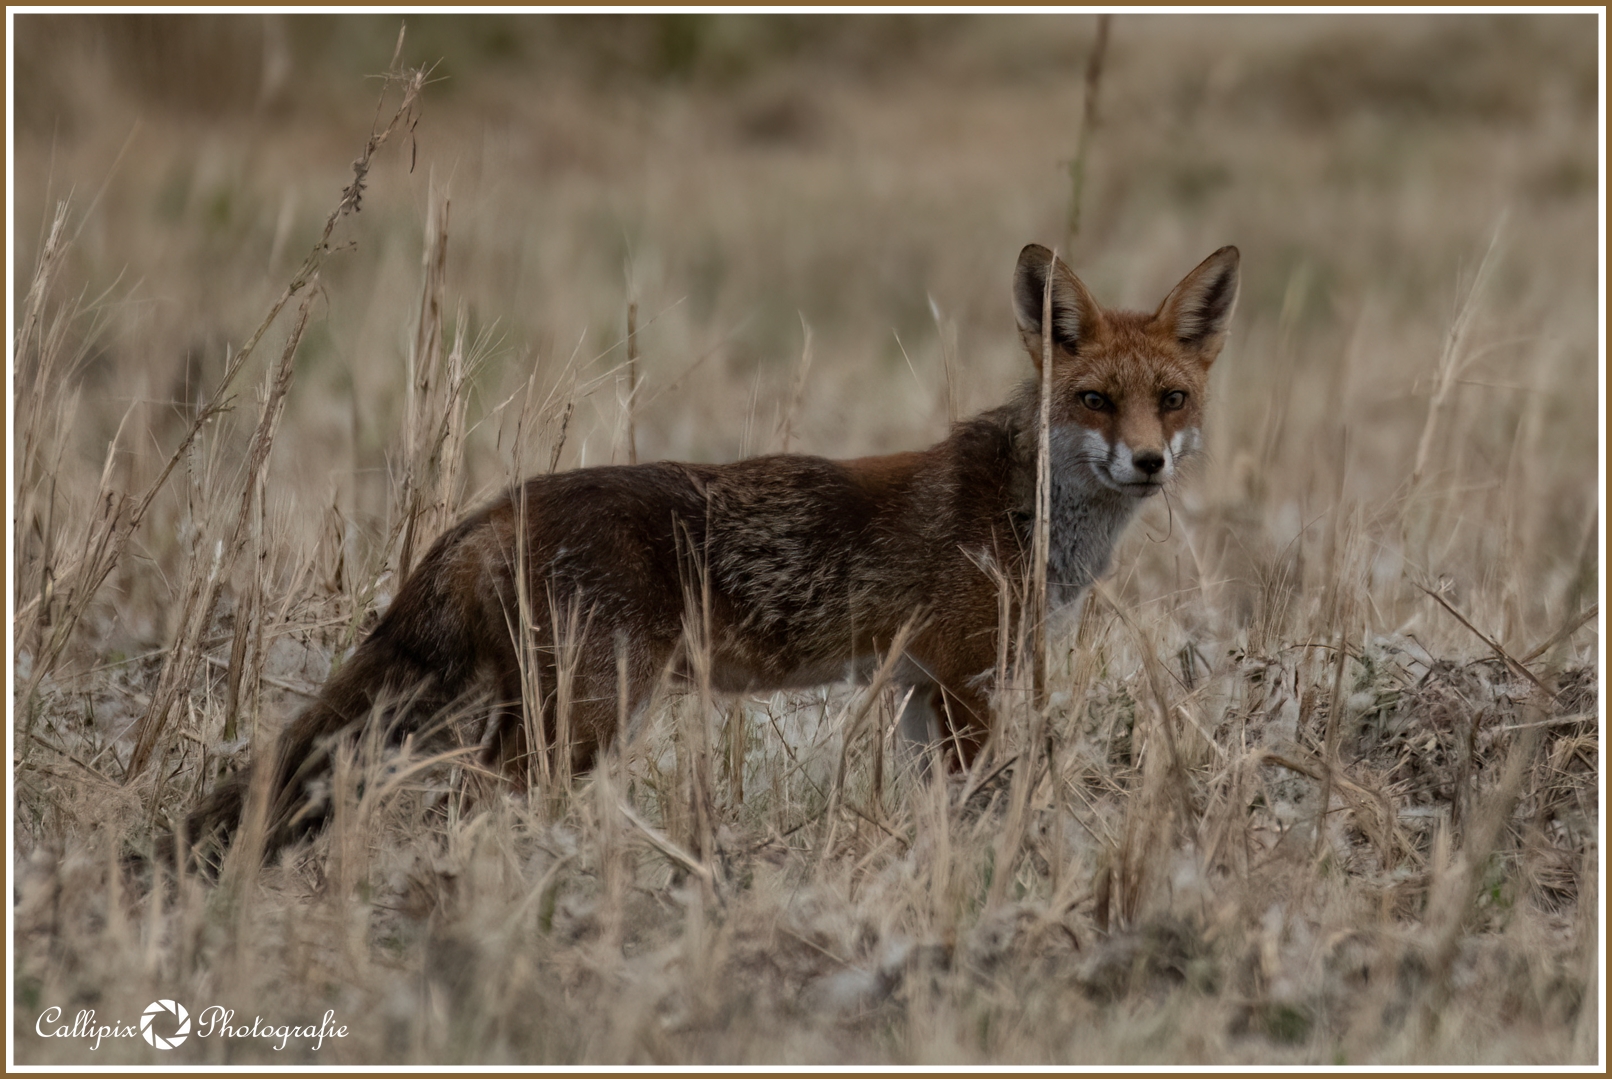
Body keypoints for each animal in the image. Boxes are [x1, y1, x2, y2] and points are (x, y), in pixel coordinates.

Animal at [173, 243, 1231, 864]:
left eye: (1171, 399)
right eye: (1095, 400)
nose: (1147, 462)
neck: (1031, 512)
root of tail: (498, 506)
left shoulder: (919, 685)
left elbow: (934, 811)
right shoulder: (968, 679)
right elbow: (975, 807)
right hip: (581, 718)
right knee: (466, 804)